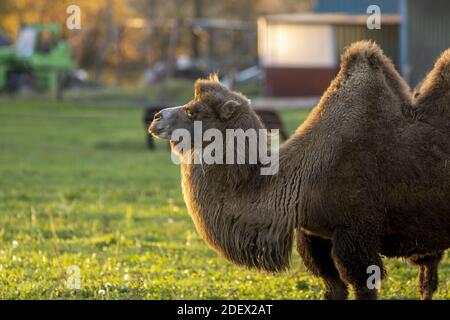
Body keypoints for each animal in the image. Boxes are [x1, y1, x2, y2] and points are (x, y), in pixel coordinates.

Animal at [150, 42, 450, 300]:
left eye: (194, 111)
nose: (156, 117)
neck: (302, 181)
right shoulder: (314, 235)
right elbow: (333, 288)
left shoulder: (355, 231)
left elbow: (364, 288)